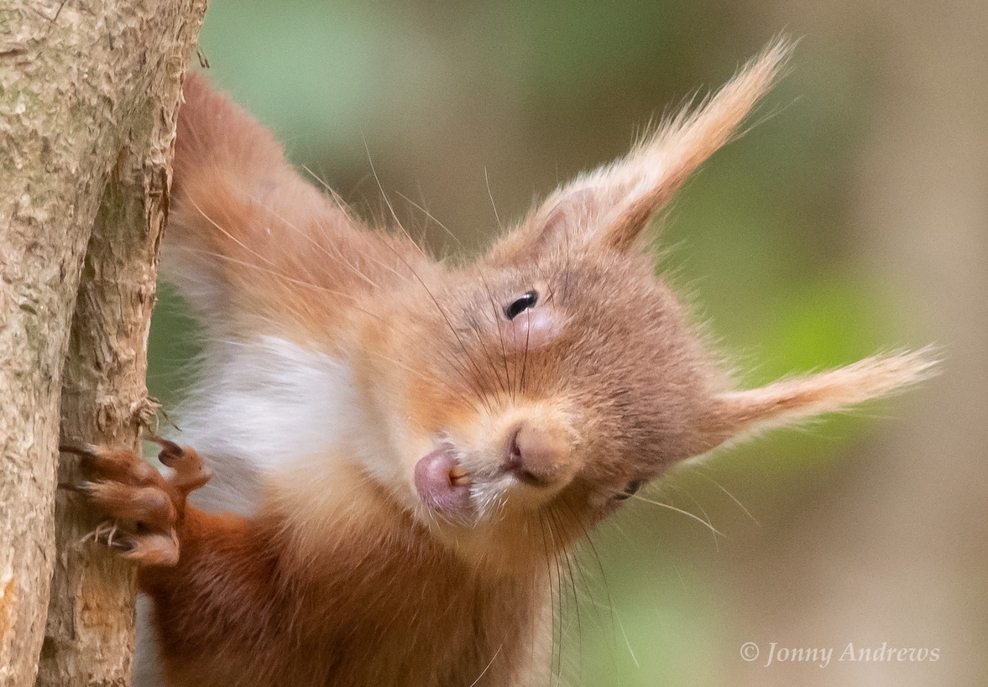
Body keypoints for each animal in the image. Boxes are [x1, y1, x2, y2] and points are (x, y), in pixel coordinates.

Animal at [69, 40, 932, 684]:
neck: (352, 437)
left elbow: (251, 640)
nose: (537, 453)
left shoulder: (407, 599)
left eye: (630, 486)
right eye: (521, 304)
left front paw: (165, 516)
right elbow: (219, 156)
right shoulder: (307, 262)